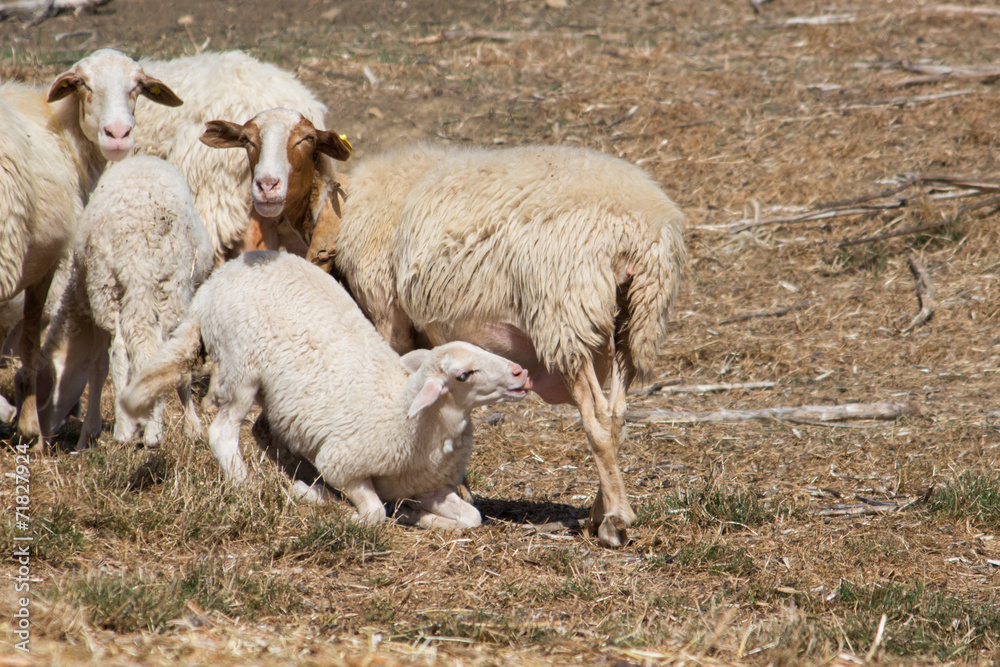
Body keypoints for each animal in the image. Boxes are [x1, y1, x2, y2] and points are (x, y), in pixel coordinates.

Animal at [0, 48, 182, 439]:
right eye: (83, 84)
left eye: (138, 86)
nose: (118, 134)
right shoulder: (47, 259)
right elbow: (31, 342)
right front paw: (30, 428)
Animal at [36, 155, 212, 450]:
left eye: (44, 396)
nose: (40, 442)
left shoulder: (93, 310)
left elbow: (97, 367)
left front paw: (88, 434)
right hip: (163, 287)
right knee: (146, 351)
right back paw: (148, 432)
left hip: (110, 287)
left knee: (120, 351)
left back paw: (128, 429)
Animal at [120, 251, 530, 529]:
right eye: (464, 374)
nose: (521, 372)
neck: (404, 412)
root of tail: (211, 285)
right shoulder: (343, 464)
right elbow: (374, 512)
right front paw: (339, 507)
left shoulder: (431, 486)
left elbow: (472, 516)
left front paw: (416, 515)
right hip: (242, 368)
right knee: (223, 433)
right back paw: (249, 487)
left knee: (263, 431)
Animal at [322, 143, 688, 548]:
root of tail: (639, 228)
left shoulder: (391, 317)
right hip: (634, 319)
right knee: (619, 413)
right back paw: (601, 513)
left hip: (565, 314)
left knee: (599, 418)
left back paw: (615, 521)